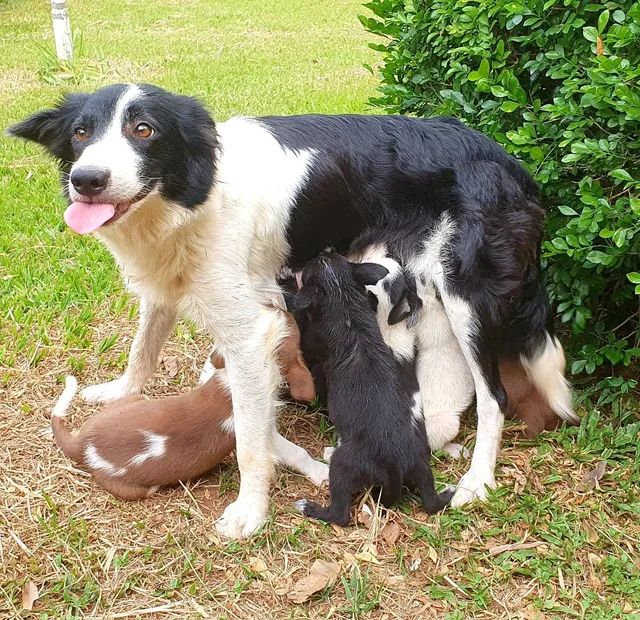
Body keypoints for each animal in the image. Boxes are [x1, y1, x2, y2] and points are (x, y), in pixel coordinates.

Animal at [52, 320, 328, 498]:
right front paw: (320, 471)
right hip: (137, 489)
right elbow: (297, 453)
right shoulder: (262, 430)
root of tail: (83, 445)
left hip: (136, 400)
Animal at [284, 252, 450, 524]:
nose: (323, 251)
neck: (342, 297)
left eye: (308, 271)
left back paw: (309, 507)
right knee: (431, 502)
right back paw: (448, 494)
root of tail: (394, 467)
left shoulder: (312, 345)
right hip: (422, 467)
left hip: (342, 466)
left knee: (340, 514)